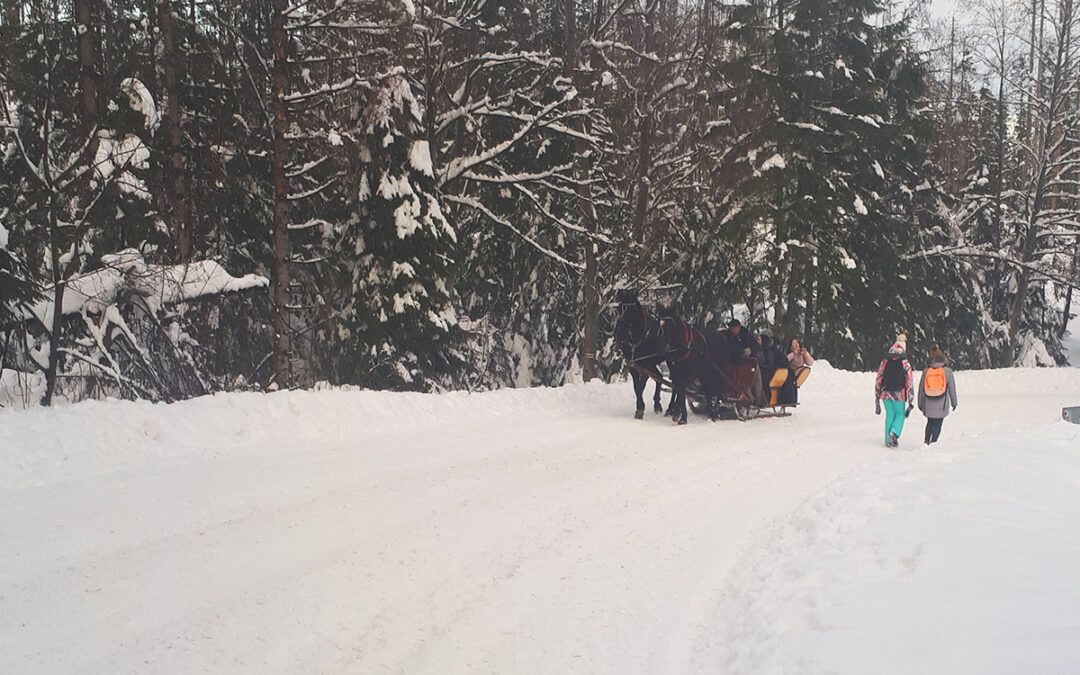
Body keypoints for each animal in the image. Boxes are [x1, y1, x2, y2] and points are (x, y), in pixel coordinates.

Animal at [617, 287, 665, 419]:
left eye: (631, 310)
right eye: (618, 308)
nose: (620, 332)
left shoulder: (646, 366)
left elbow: (640, 386)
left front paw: (640, 409)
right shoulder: (633, 365)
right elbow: (636, 387)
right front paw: (639, 408)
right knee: (660, 376)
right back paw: (657, 404)